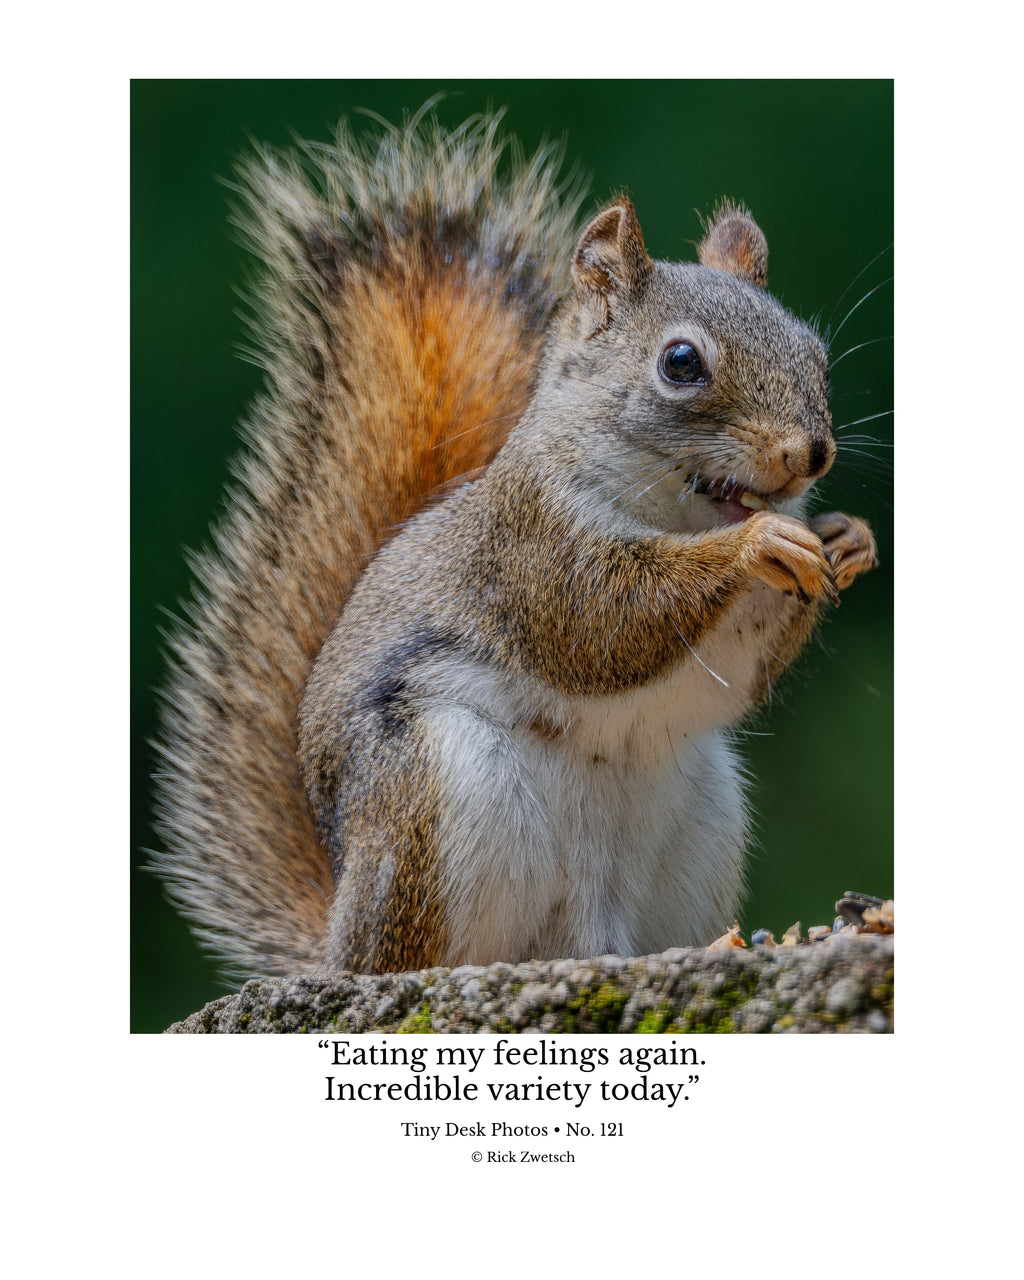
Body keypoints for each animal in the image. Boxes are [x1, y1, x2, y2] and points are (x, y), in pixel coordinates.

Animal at [152, 109, 878, 982]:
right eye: (680, 362)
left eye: (815, 353)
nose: (813, 456)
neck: (678, 513)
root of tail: (337, 946)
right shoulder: (532, 546)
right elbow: (602, 622)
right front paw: (757, 543)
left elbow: (742, 674)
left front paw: (846, 539)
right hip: (433, 801)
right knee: (418, 954)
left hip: (699, 822)